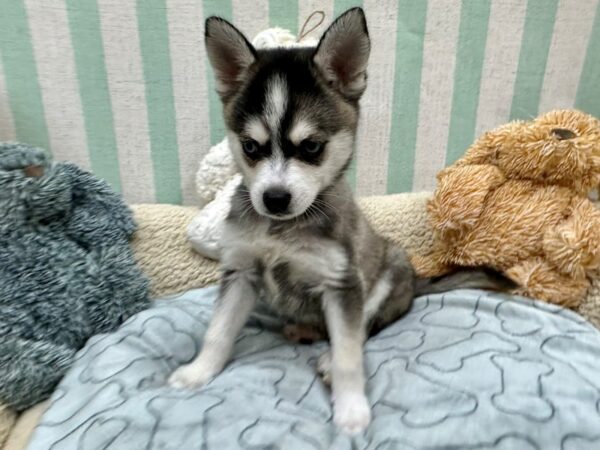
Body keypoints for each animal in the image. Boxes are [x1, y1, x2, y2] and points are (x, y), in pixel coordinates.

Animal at [169, 7, 510, 436]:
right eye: (250, 147)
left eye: (312, 147)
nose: (274, 199)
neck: (283, 231)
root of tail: (417, 281)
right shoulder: (241, 272)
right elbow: (218, 331)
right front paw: (198, 372)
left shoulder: (341, 283)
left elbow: (349, 353)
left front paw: (351, 410)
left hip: (389, 270)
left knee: (363, 328)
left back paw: (330, 357)